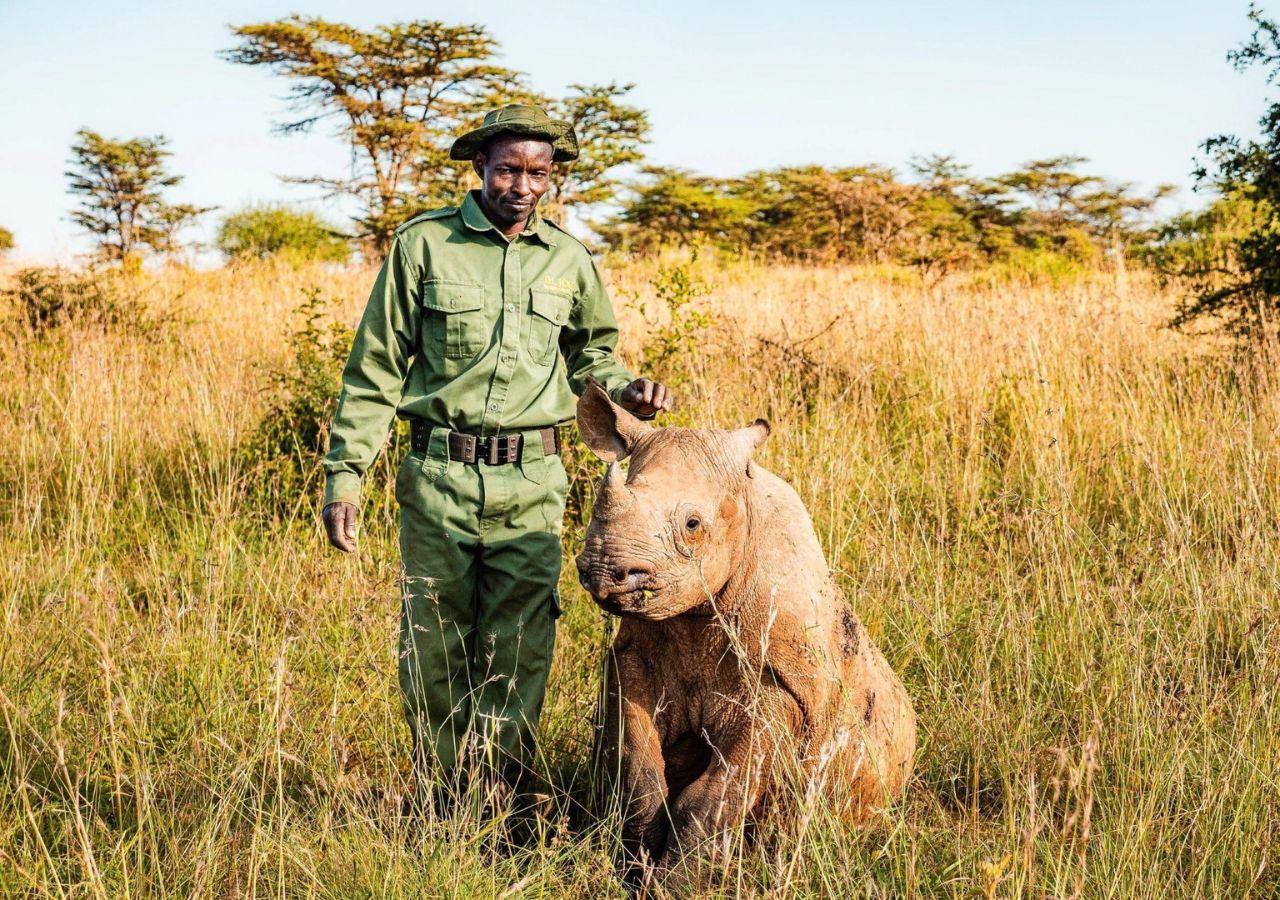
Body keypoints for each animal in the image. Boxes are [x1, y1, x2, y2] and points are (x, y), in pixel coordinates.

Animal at [574, 379, 916, 876]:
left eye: (693, 524)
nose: (602, 569)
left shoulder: (783, 689)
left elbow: (714, 796)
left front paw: (673, 883)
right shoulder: (635, 658)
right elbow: (640, 774)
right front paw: (636, 867)